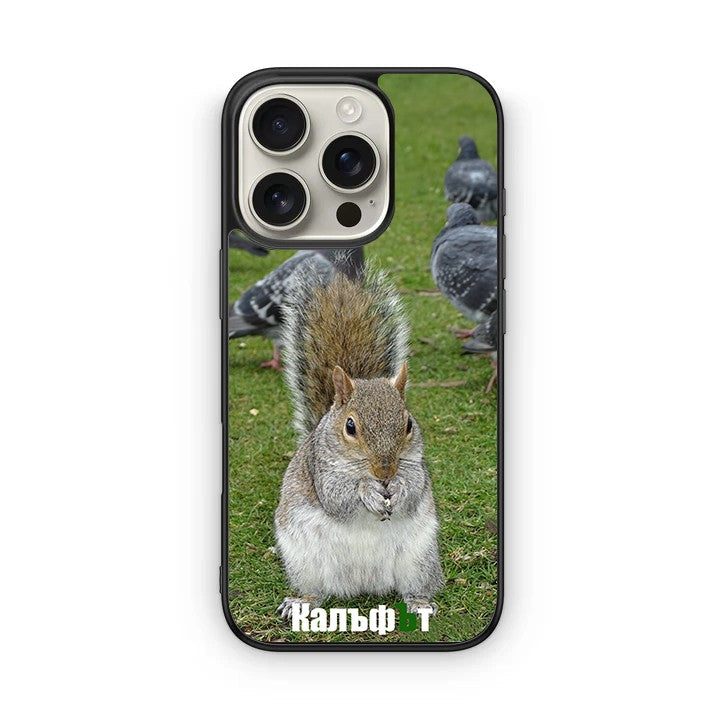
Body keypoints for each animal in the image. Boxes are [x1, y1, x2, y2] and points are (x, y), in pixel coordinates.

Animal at [274, 269, 443, 620]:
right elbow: (338, 498)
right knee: (316, 590)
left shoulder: (417, 467)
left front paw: (400, 489)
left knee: (414, 588)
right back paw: (301, 601)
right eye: (350, 426)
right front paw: (367, 491)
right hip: (305, 562)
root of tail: (364, 583)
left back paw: (420, 604)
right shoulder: (319, 471)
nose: (385, 472)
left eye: (408, 424)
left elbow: (415, 489)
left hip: (419, 560)